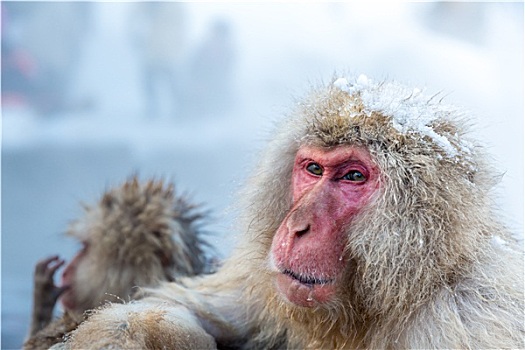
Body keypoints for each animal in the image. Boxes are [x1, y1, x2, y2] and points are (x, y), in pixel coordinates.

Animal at [61, 75, 520, 348]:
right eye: (313, 168)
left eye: (353, 176)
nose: (298, 225)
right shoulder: (265, 288)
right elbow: (166, 305)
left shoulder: (465, 322)